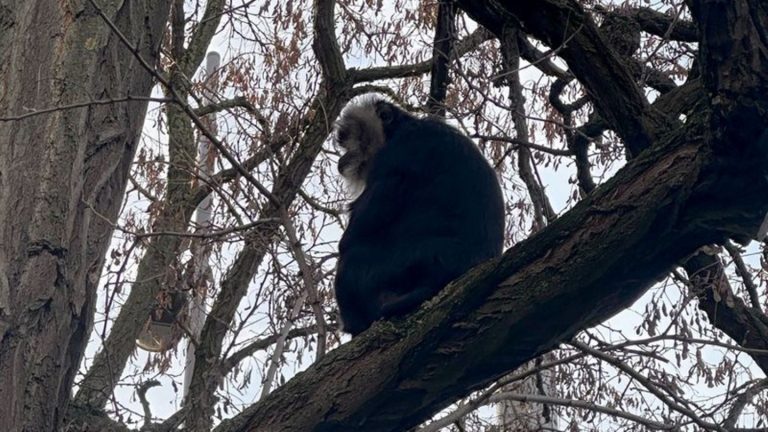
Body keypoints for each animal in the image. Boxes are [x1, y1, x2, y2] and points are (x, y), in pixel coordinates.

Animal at [334, 96, 504, 336]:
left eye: (349, 139)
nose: (343, 158)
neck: (399, 129)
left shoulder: (397, 152)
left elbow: (357, 232)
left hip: (410, 262)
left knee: (351, 261)